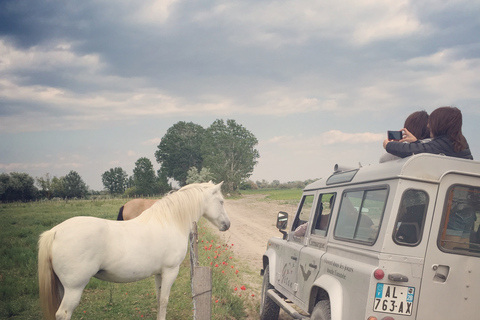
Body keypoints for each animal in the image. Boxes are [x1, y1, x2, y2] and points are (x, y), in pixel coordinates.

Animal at [38, 182, 230, 320]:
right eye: (221, 201)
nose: (227, 225)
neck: (170, 221)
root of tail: (54, 232)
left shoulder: (159, 273)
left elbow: (159, 299)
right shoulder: (170, 271)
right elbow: (164, 301)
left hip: (62, 287)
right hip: (74, 288)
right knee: (63, 314)